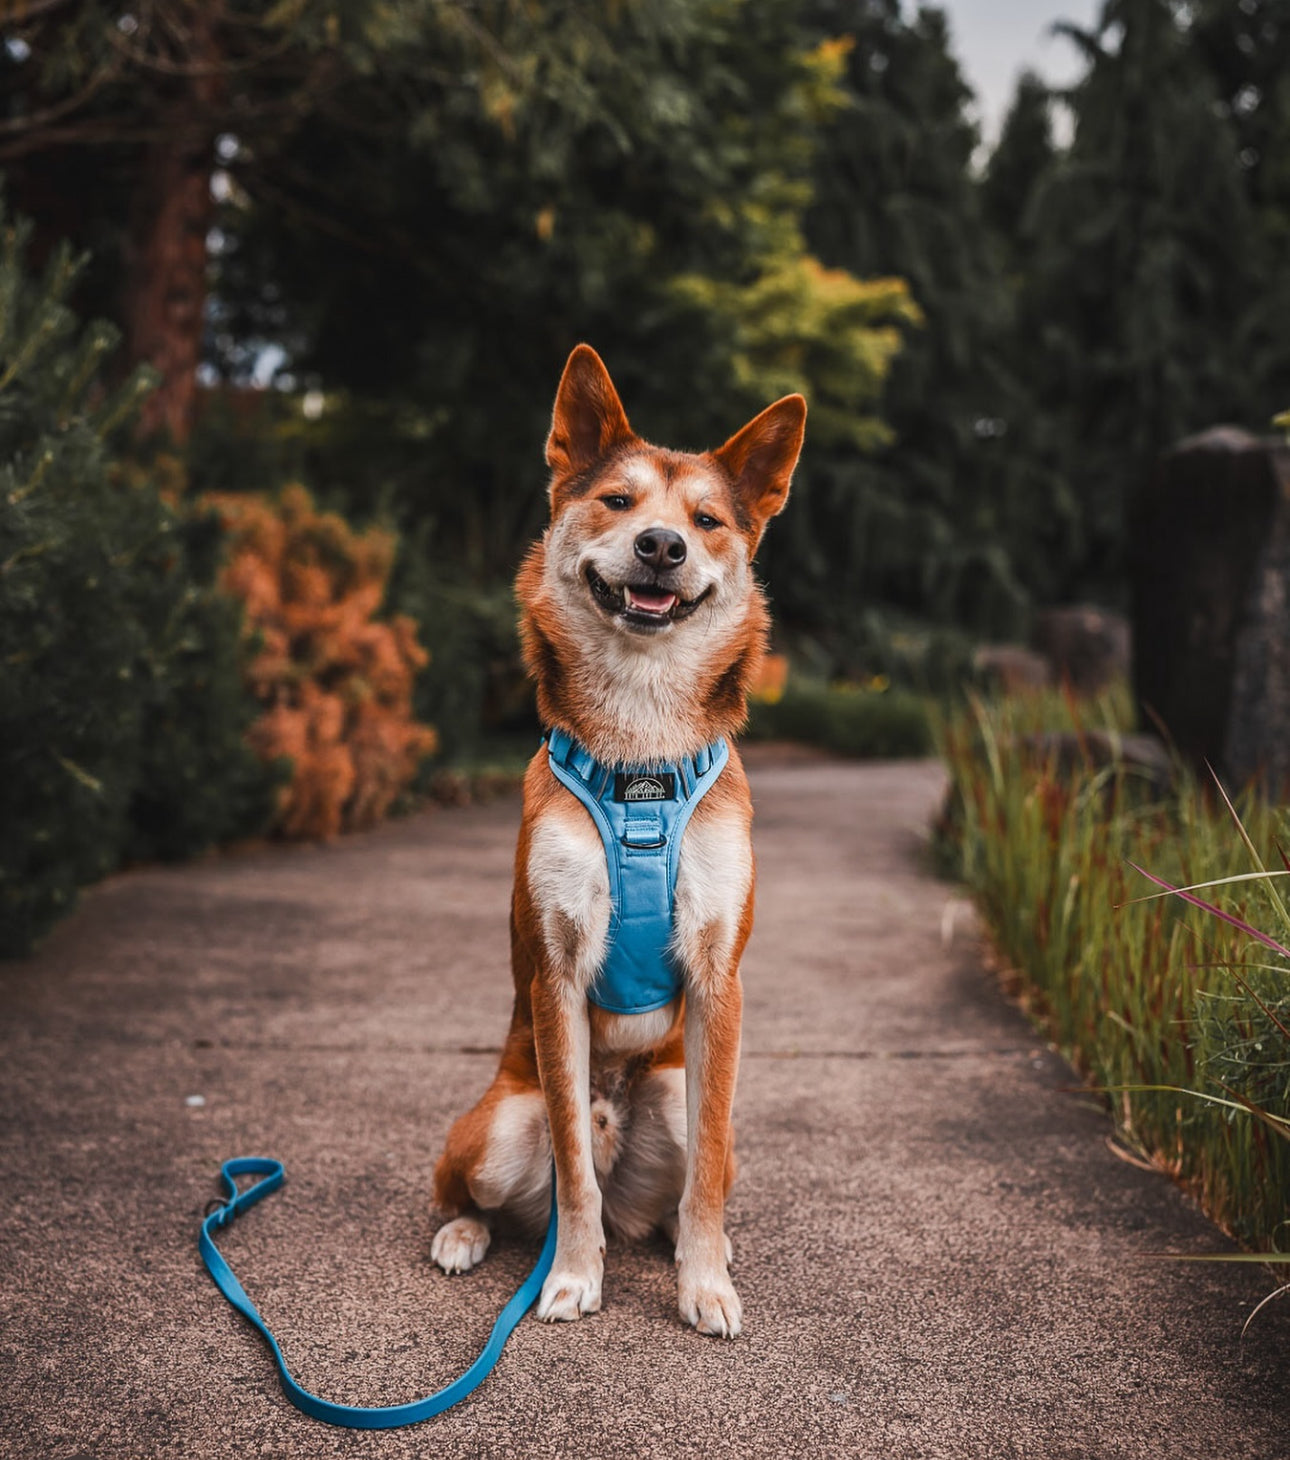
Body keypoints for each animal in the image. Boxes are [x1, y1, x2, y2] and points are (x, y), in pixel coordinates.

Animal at [429, 341, 799, 1337]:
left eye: (706, 520)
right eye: (619, 501)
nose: (662, 546)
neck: (640, 756)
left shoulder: (720, 977)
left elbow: (704, 1173)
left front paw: (704, 1283)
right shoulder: (557, 972)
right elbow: (573, 1179)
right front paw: (569, 1278)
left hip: (675, 1092)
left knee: (686, 1182)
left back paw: (690, 1243)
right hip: (494, 1124)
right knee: (480, 1186)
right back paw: (465, 1234)